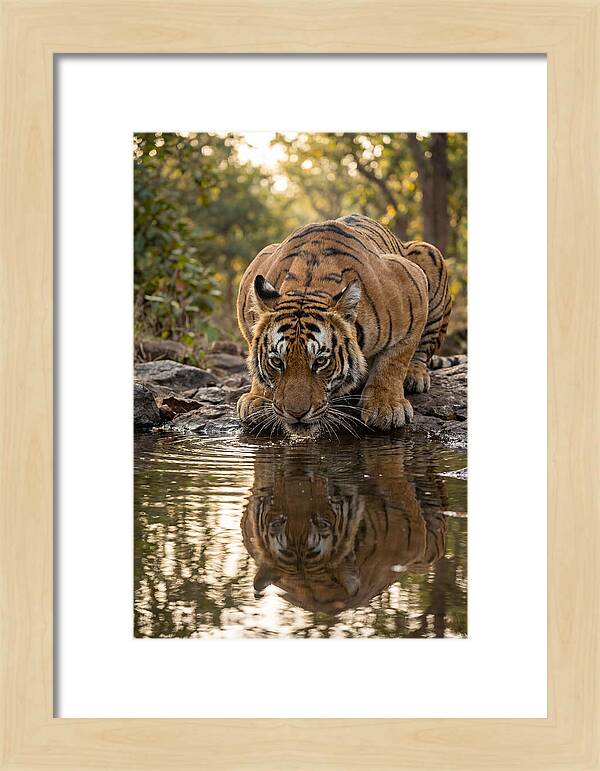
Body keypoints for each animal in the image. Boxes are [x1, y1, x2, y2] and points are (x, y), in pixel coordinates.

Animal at [236, 213, 453, 437]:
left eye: (320, 362)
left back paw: (414, 376)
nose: (296, 414)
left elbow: (394, 360)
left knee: (424, 348)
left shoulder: (412, 283)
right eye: (277, 362)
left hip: (429, 253)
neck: (308, 286)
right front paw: (257, 398)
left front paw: (386, 407)